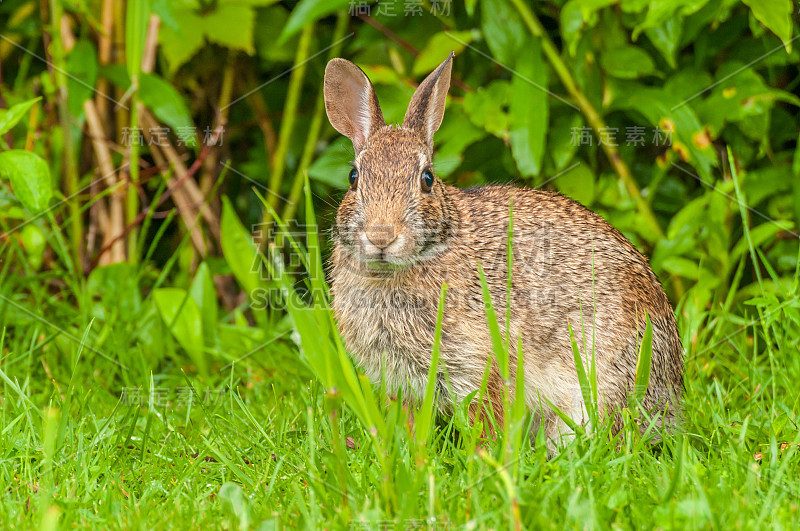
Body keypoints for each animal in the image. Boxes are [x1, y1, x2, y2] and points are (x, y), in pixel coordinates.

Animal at [322, 52, 684, 456]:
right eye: (354, 178)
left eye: (427, 179)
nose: (381, 236)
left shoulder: (480, 363)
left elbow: (487, 418)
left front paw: (483, 456)